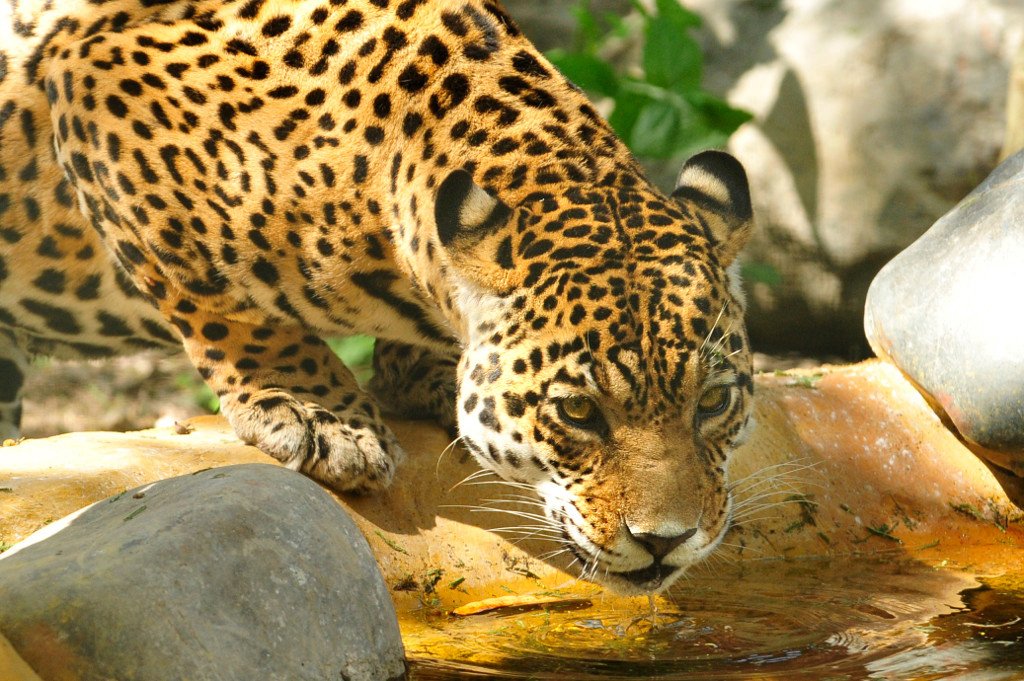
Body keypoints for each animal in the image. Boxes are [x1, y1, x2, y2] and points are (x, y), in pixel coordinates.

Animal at [0, 0, 755, 593]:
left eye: (713, 403)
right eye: (577, 412)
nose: (666, 539)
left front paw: (425, 375)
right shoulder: (100, 80)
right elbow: (220, 295)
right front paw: (319, 412)